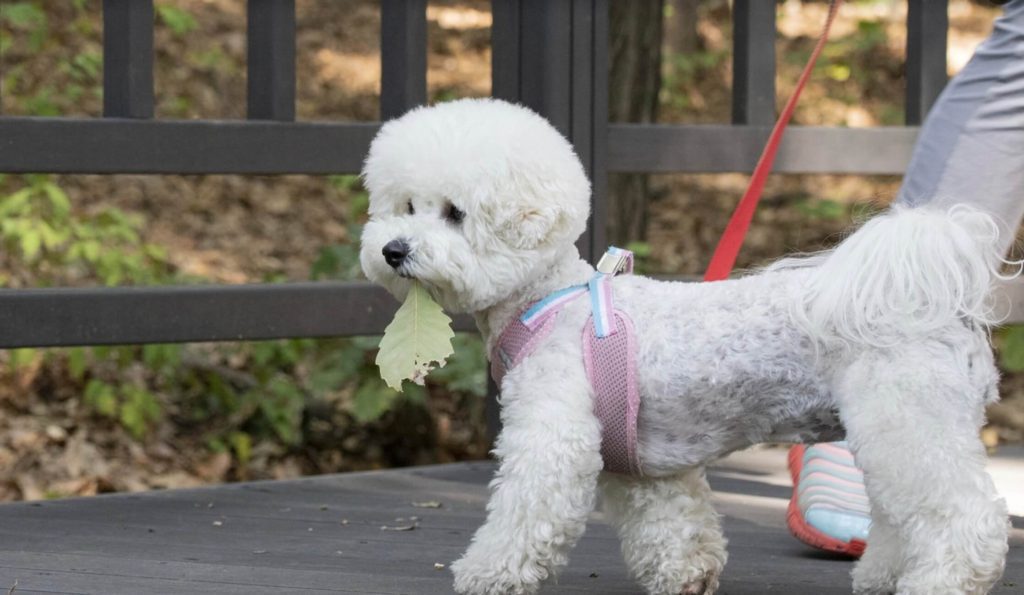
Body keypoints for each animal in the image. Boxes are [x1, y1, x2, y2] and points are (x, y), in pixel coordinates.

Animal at [356, 99, 1011, 589]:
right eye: (405, 206)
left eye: (454, 213)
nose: (393, 249)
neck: (548, 300)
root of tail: (938, 306)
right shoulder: (644, 463)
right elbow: (671, 521)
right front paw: (686, 574)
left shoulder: (553, 437)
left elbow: (525, 511)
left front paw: (486, 572)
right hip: (891, 431)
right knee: (901, 517)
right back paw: (883, 576)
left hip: (911, 421)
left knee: (966, 518)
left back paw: (941, 580)